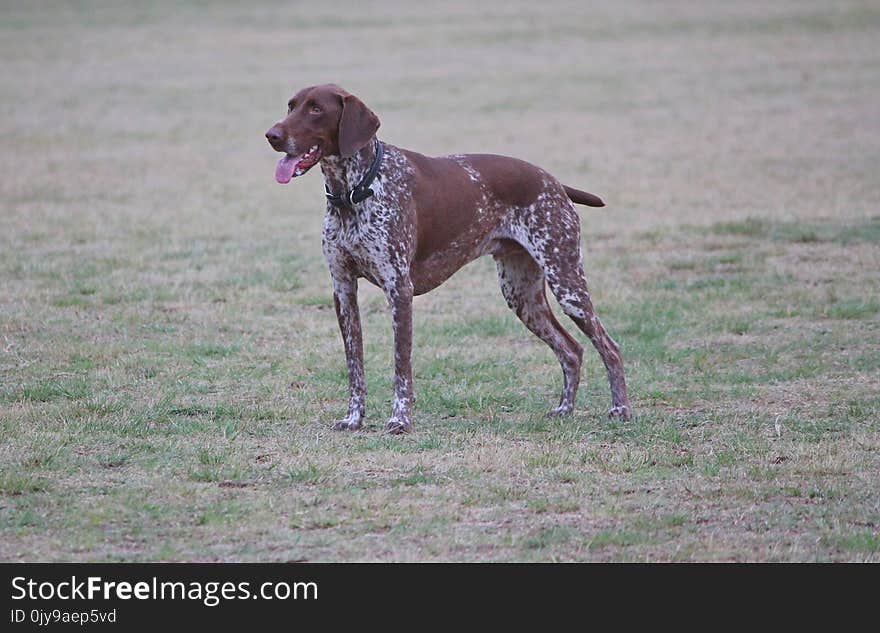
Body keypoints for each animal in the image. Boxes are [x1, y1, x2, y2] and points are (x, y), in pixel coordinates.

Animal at [264, 82, 628, 434]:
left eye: (316, 109)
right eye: (290, 106)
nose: (272, 135)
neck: (355, 189)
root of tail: (553, 181)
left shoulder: (399, 289)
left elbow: (401, 366)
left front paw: (400, 420)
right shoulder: (343, 290)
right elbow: (355, 366)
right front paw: (354, 419)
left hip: (566, 282)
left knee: (609, 347)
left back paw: (620, 410)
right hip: (522, 296)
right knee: (572, 350)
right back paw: (565, 410)